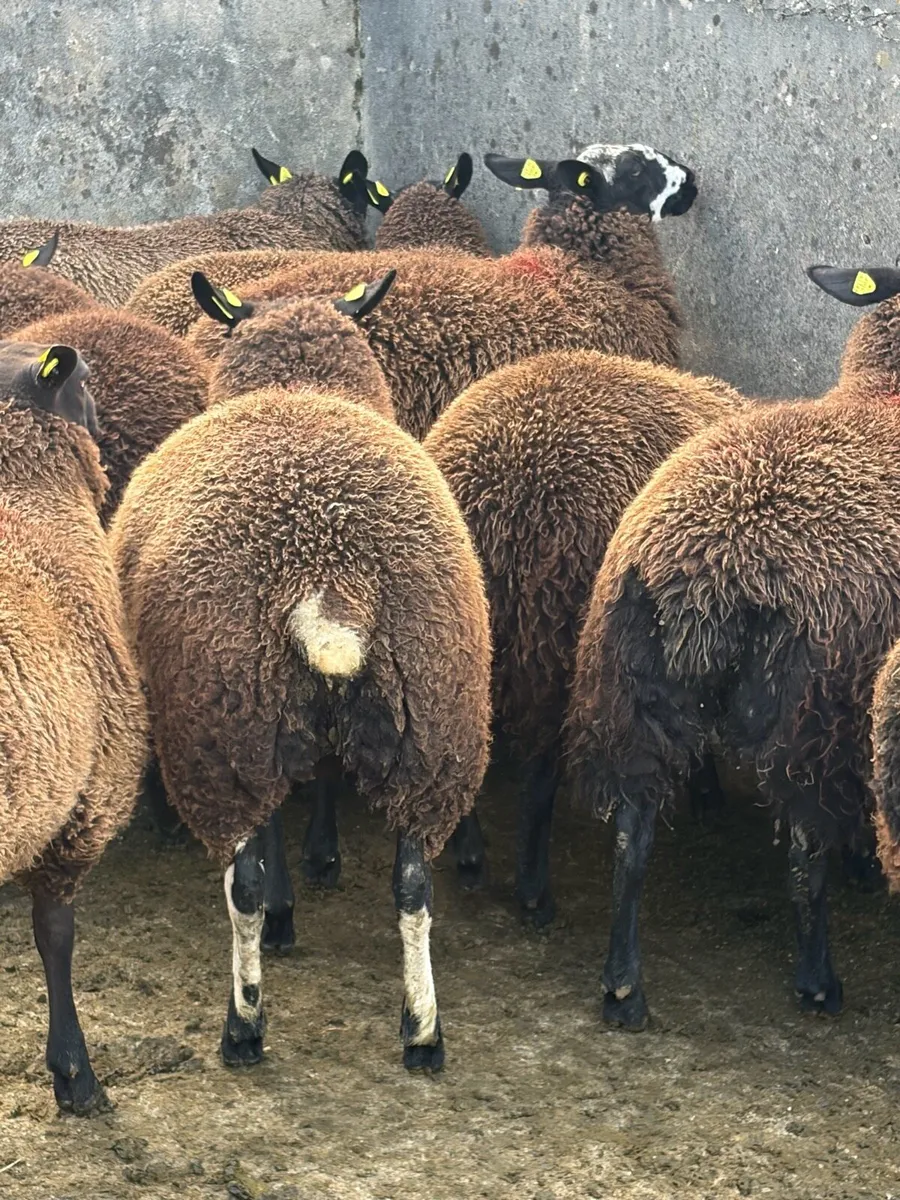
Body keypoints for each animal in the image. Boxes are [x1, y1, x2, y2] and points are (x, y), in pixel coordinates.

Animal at [108, 276, 492, 1071]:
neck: (300, 385)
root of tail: (327, 575)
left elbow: (272, 844)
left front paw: (285, 914)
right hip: (434, 724)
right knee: (415, 887)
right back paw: (423, 1033)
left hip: (225, 724)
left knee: (243, 886)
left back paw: (243, 1027)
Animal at [423, 351, 744, 920]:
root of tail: (496, 501)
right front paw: (707, 791)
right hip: (553, 641)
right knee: (540, 773)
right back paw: (533, 891)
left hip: (467, 632)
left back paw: (470, 854)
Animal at [564, 259, 900, 1029]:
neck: (882, 394)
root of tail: (707, 570)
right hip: (812, 708)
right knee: (806, 850)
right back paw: (818, 980)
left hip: (629, 689)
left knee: (632, 834)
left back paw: (623, 985)